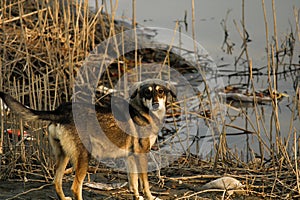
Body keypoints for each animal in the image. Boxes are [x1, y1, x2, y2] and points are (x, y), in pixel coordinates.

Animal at [0, 79, 177, 199]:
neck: (143, 111)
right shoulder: (142, 155)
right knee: (75, 187)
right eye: (147, 92)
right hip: (84, 158)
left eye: (160, 92)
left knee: (56, 182)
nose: (155, 104)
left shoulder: (131, 157)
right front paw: (150, 196)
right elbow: (145, 183)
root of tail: (59, 112)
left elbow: (134, 184)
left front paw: (137, 197)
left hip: (63, 156)